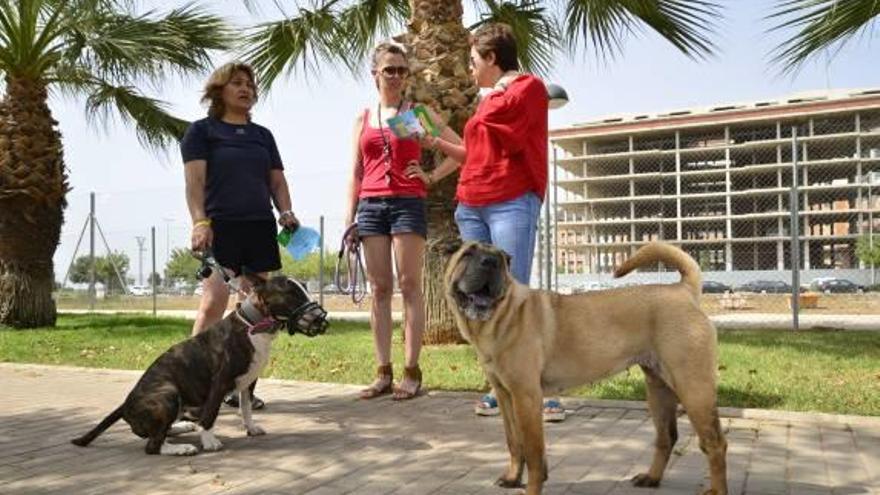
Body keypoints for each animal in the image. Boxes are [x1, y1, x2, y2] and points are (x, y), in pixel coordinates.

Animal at [71, 276, 326, 458]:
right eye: (291, 293)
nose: (319, 318)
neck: (253, 325)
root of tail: (125, 406)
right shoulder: (220, 381)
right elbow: (211, 414)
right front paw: (209, 441)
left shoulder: (249, 381)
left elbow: (245, 408)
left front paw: (251, 428)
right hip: (168, 394)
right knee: (153, 445)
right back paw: (181, 448)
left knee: (160, 432)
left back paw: (182, 427)